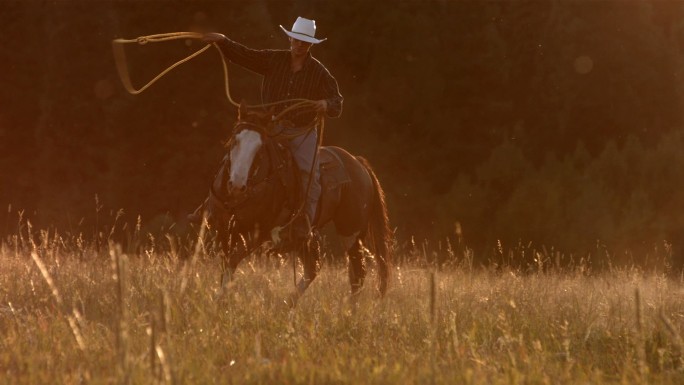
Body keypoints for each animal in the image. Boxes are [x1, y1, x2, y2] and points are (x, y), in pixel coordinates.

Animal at [203, 104, 392, 300]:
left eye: (260, 148)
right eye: (235, 140)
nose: (237, 184)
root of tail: (359, 163)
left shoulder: (256, 234)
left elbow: (232, 262)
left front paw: (218, 299)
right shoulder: (223, 230)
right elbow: (226, 265)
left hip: (350, 233)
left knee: (357, 275)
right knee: (314, 266)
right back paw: (288, 302)